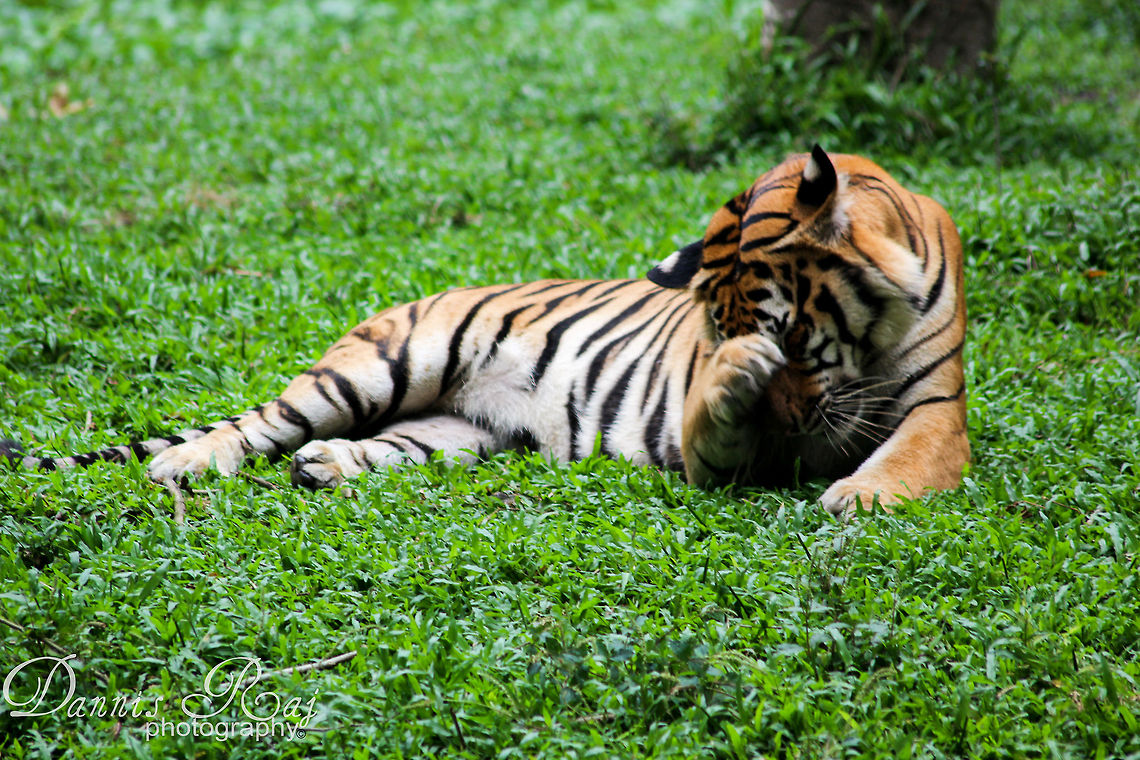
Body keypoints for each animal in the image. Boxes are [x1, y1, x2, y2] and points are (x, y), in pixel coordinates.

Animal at [7, 146, 969, 515]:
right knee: (257, 423)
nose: (793, 423)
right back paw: (188, 464)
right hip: (381, 366)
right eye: (733, 340)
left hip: (455, 432)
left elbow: (909, 457)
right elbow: (723, 430)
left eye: (793, 338)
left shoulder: (938, 410)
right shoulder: (730, 453)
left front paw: (857, 495)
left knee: (374, 446)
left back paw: (326, 468)